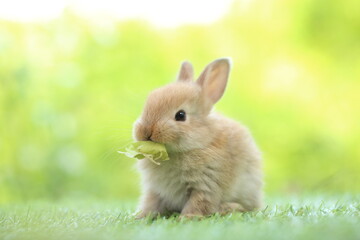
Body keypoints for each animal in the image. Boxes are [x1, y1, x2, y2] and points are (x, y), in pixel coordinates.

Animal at [132, 57, 262, 218]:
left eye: (181, 115)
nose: (145, 131)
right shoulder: (156, 190)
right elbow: (151, 203)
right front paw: (141, 217)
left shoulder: (206, 184)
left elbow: (198, 203)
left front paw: (187, 218)